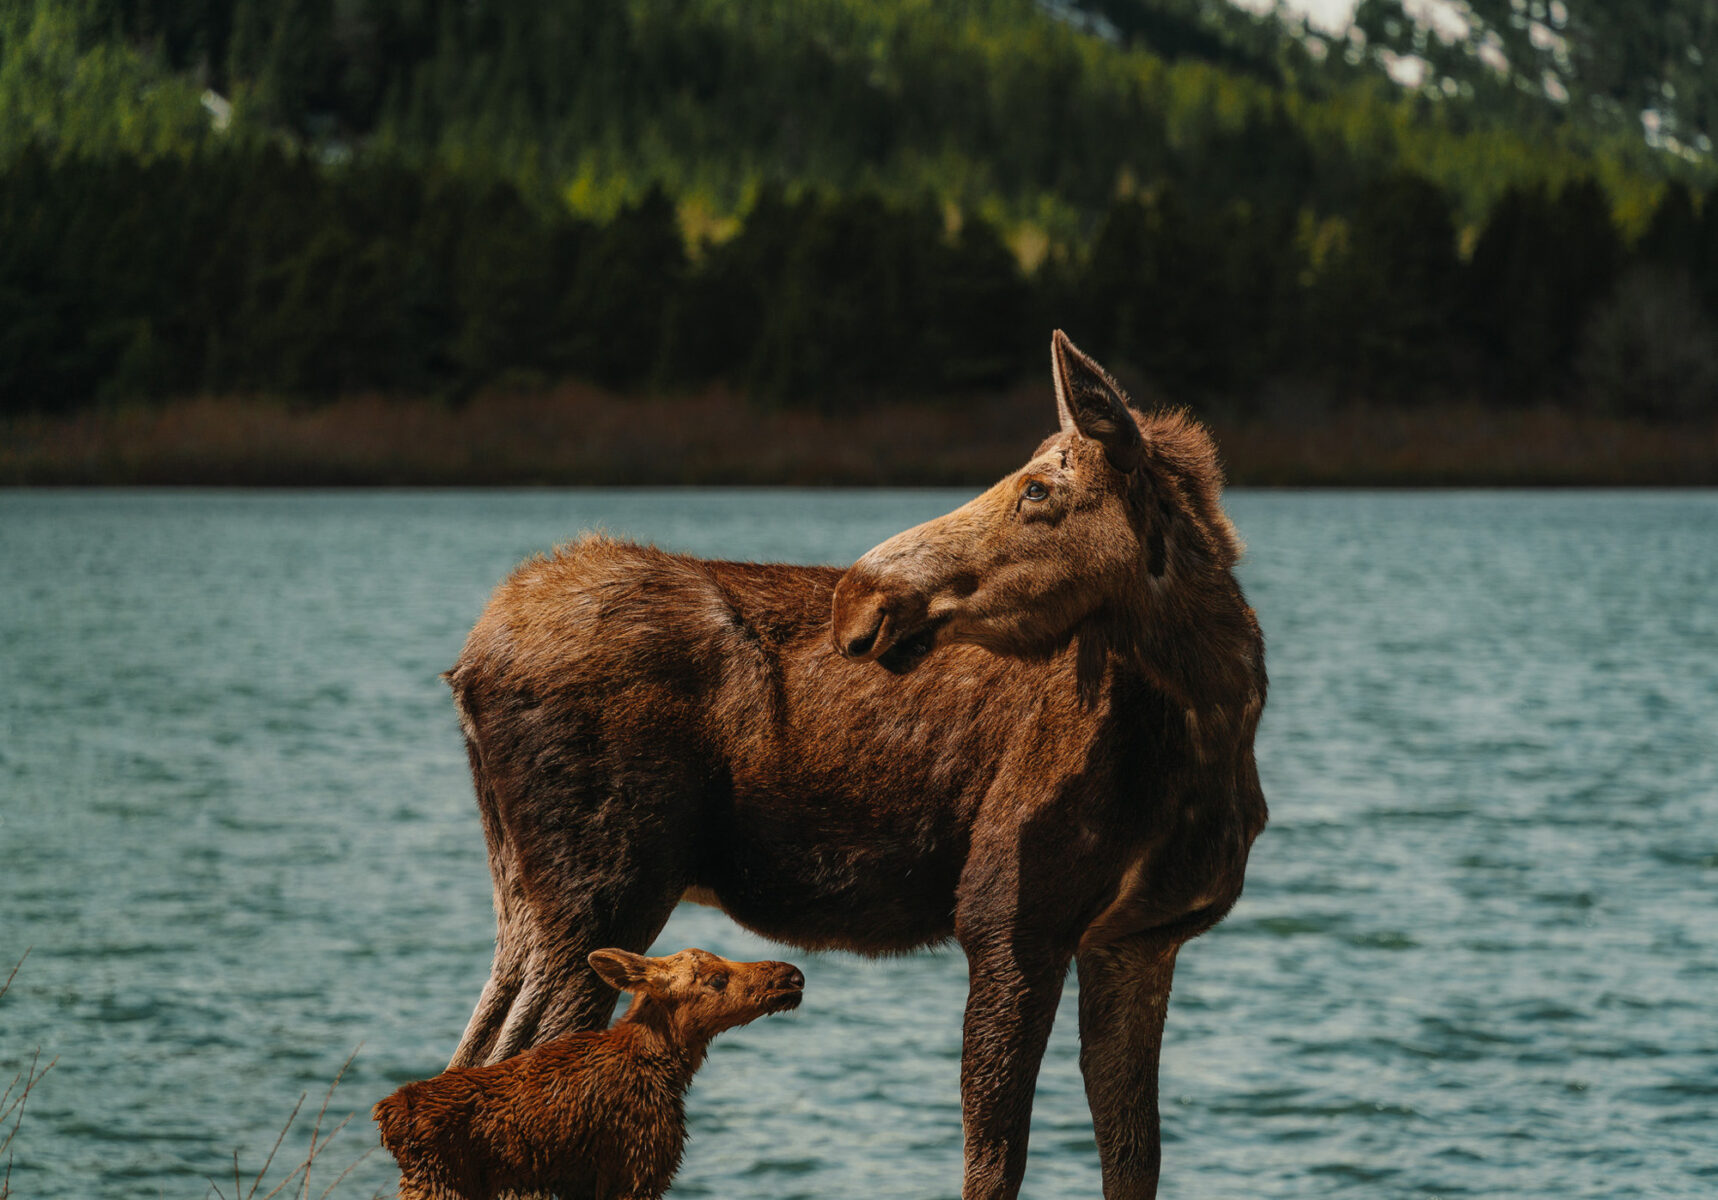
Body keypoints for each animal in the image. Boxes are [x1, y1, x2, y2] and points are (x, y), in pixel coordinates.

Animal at [372, 942, 800, 1196]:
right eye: (716, 979)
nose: (792, 977)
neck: (670, 1069)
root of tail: (388, 1116)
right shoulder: (637, 1168)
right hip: (442, 1181)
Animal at [443, 330, 1271, 1196]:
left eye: (1039, 489)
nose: (857, 599)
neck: (1208, 727)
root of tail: (470, 664)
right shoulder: (1006, 920)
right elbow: (994, 1161)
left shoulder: (1139, 940)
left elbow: (1133, 1158)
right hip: (606, 889)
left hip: (527, 903)